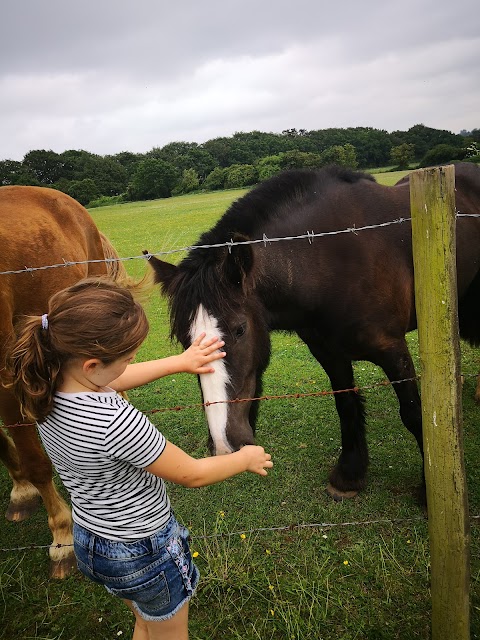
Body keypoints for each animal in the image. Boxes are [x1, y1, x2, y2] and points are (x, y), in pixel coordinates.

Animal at [148, 162, 480, 502]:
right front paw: (349, 476)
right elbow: (346, 407)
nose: (225, 443)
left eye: (239, 329)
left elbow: (414, 414)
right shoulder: (329, 353)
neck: (328, 263)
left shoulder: (392, 349)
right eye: (185, 342)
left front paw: (429, 489)